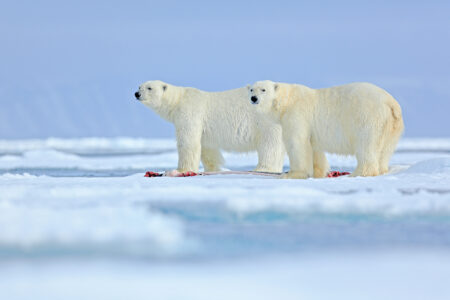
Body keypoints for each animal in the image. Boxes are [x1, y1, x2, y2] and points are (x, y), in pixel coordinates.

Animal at [134, 80, 286, 173]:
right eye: (139, 86)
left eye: (149, 88)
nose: (137, 94)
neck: (178, 101)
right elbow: (207, 147)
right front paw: (213, 169)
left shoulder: (189, 113)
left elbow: (188, 142)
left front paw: (182, 170)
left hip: (266, 122)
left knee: (270, 144)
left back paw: (262, 168)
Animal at [250, 79, 404, 178]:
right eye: (251, 89)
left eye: (263, 89)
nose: (253, 98)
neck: (287, 101)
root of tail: (391, 103)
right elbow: (314, 148)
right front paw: (318, 174)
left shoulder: (297, 114)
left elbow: (297, 143)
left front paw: (292, 175)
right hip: (391, 126)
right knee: (385, 150)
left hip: (367, 117)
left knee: (366, 145)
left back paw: (358, 173)